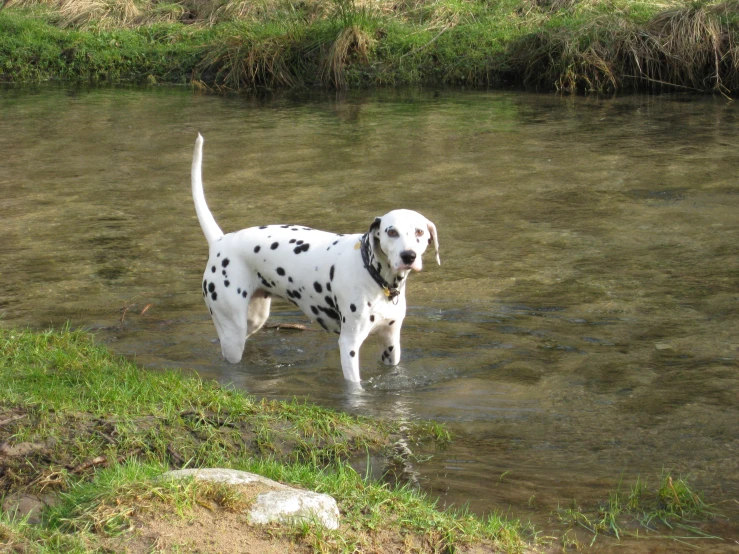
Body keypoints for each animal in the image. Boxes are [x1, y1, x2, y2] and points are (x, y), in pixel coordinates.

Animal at [194, 135, 442, 384]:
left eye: (419, 231)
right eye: (391, 232)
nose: (408, 255)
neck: (374, 275)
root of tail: (220, 241)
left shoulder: (390, 342)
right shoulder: (349, 345)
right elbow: (355, 386)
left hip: (254, 320)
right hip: (233, 331)